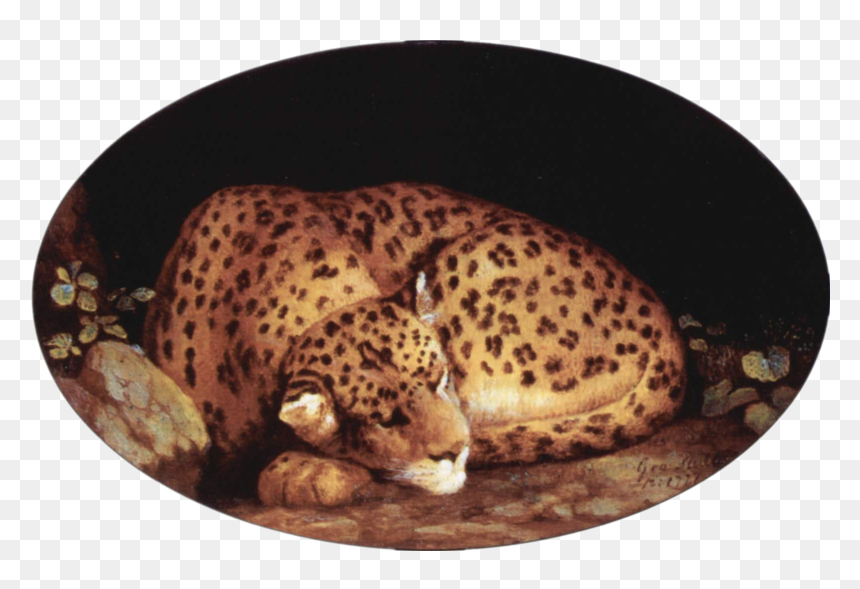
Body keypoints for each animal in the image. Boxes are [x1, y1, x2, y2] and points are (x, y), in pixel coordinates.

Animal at [143, 182, 686, 502]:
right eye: (385, 419)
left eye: (441, 379)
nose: (456, 450)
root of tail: (664, 325)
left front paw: (305, 470)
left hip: (463, 265)